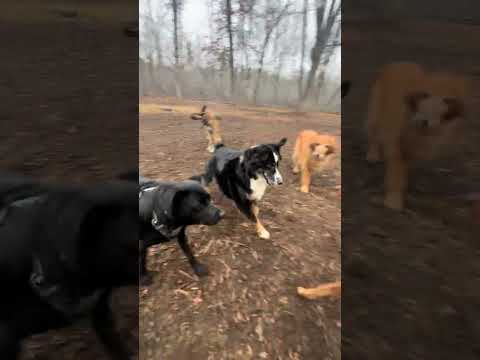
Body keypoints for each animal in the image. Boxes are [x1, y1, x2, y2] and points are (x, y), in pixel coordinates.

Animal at [366, 60, 466, 210]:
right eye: (425, 95)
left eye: (446, 100)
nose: (424, 120)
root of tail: (400, 63)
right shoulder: (395, 143)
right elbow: (396, 172)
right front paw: (393, 200)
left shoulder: (415, 149)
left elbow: (404, 167)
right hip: (375, 114)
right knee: (374, 135)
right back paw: (372, 155)